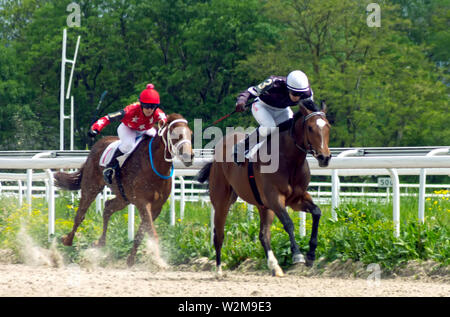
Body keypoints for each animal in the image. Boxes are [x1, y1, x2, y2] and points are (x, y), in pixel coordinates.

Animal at [54, 112, 193, 266]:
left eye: (191, 134)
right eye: (174, 134)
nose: (189, 156)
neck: (154, 166)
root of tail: (96, 147)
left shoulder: (156, 207)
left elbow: (141, 233)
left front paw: (131, 259)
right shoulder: (143, 202)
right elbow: (151, 233)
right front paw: (158, 260)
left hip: (123, 197)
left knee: (108, 207)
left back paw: (100, 243)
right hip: (91, 187)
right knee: (80, 215)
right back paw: (67, 240)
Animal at [196, 104, 330, 276]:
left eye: (328, 127)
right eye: (310, 128)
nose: (325, 157)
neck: (289, 160)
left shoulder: (297, 199)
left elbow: (317, 212)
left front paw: (311, 254)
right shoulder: (274, 198)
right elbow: (288, 223)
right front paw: (297, 255)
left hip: (263, 206)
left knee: (263, 235)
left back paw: (275, 266)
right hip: (221, 201)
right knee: (218, 234)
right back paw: (219, 270)